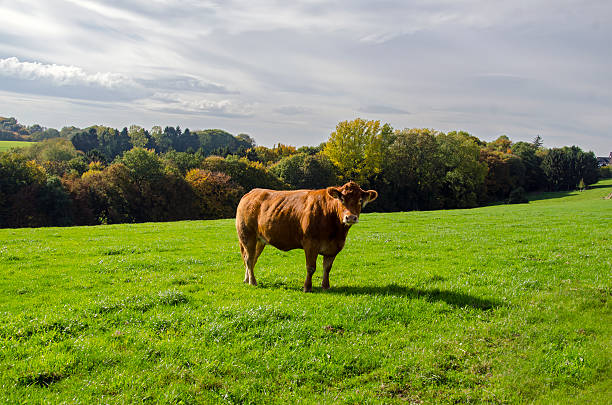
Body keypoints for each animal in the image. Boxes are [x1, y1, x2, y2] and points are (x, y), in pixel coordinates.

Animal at [235, 182, 376, 290]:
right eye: (342, 199)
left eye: (360, 200)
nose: (350, 217)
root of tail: (251, 193)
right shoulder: (310, 243)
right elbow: (311, 267)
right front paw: (307, 287)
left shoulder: (334, 247)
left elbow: (327, 268)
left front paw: (326, 286)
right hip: (247, 236)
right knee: (249, 259)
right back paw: (253, 282)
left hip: (260, 240)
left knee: (252, 259)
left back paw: (247, 279)